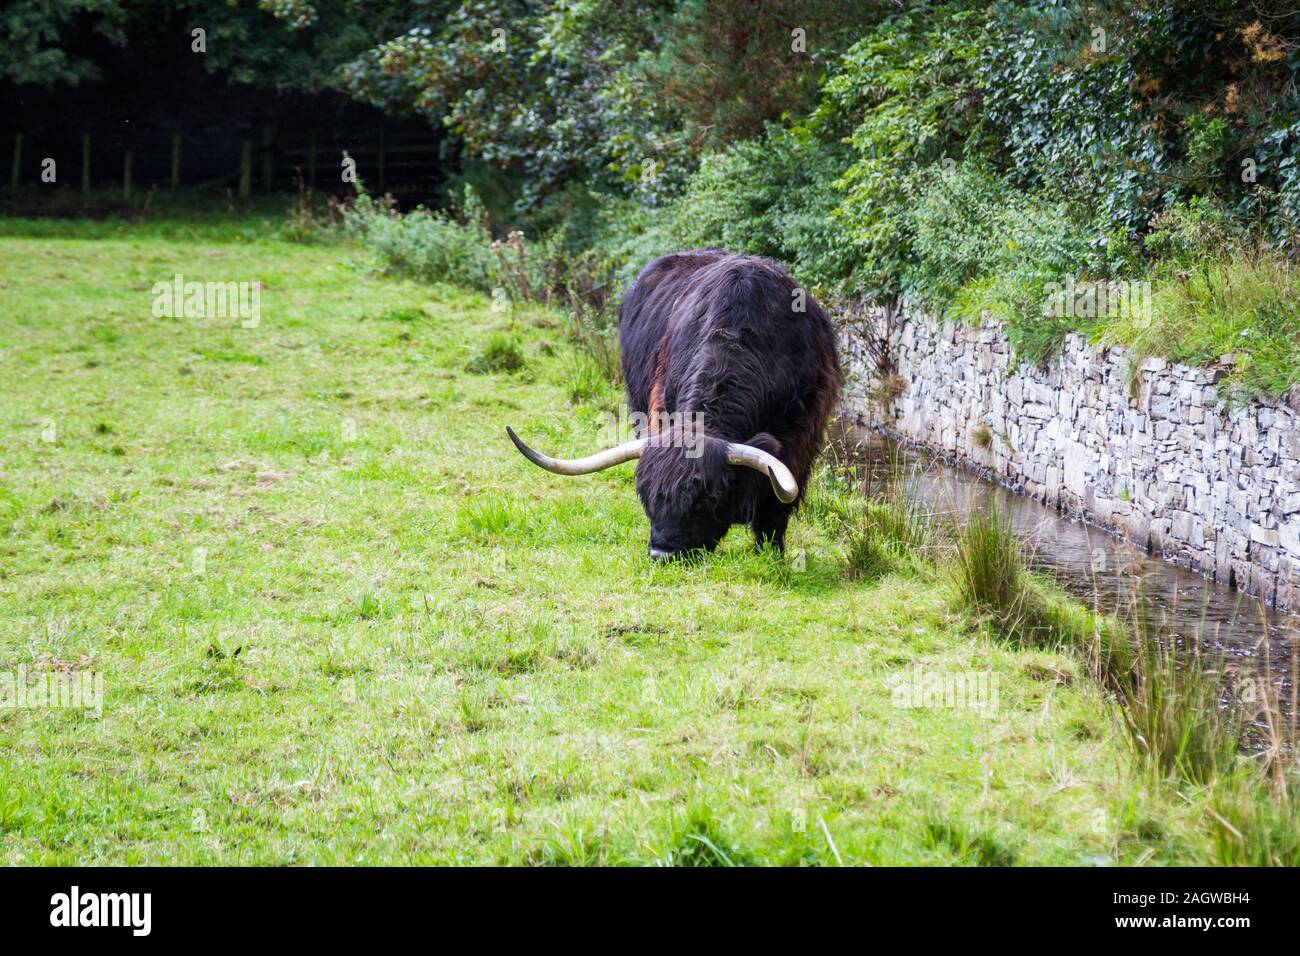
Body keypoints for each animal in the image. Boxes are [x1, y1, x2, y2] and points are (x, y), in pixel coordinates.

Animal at [507, 249, 840, 560]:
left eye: (706, 498)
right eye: (645, 495)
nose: (662, 554)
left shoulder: (800, 442)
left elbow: (774, 511)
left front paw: (771, 556)